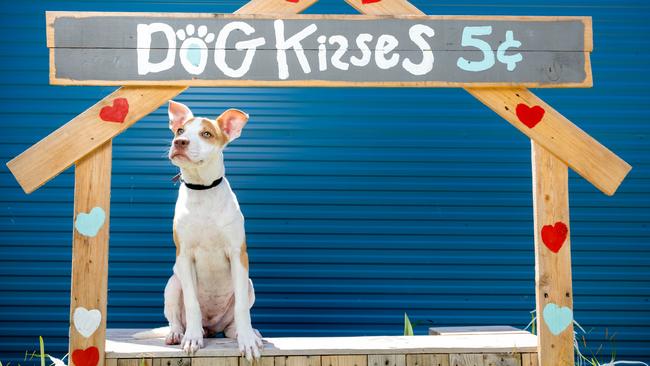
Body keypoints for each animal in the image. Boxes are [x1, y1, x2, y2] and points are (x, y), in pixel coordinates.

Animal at [134, 101, 264, 360]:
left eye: (206, 134)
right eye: (180, 131)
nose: (180, 142)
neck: (202, 189)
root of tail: (212, 327)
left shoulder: (238, 254)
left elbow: (242, 308)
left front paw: (247, 340)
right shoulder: (184, 256)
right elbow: (192, 302)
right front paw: (192, 338)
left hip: (249, 284)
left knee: (233, 320)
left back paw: (244, 332)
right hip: (173, 283)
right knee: (175, 318)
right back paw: (178, 333)